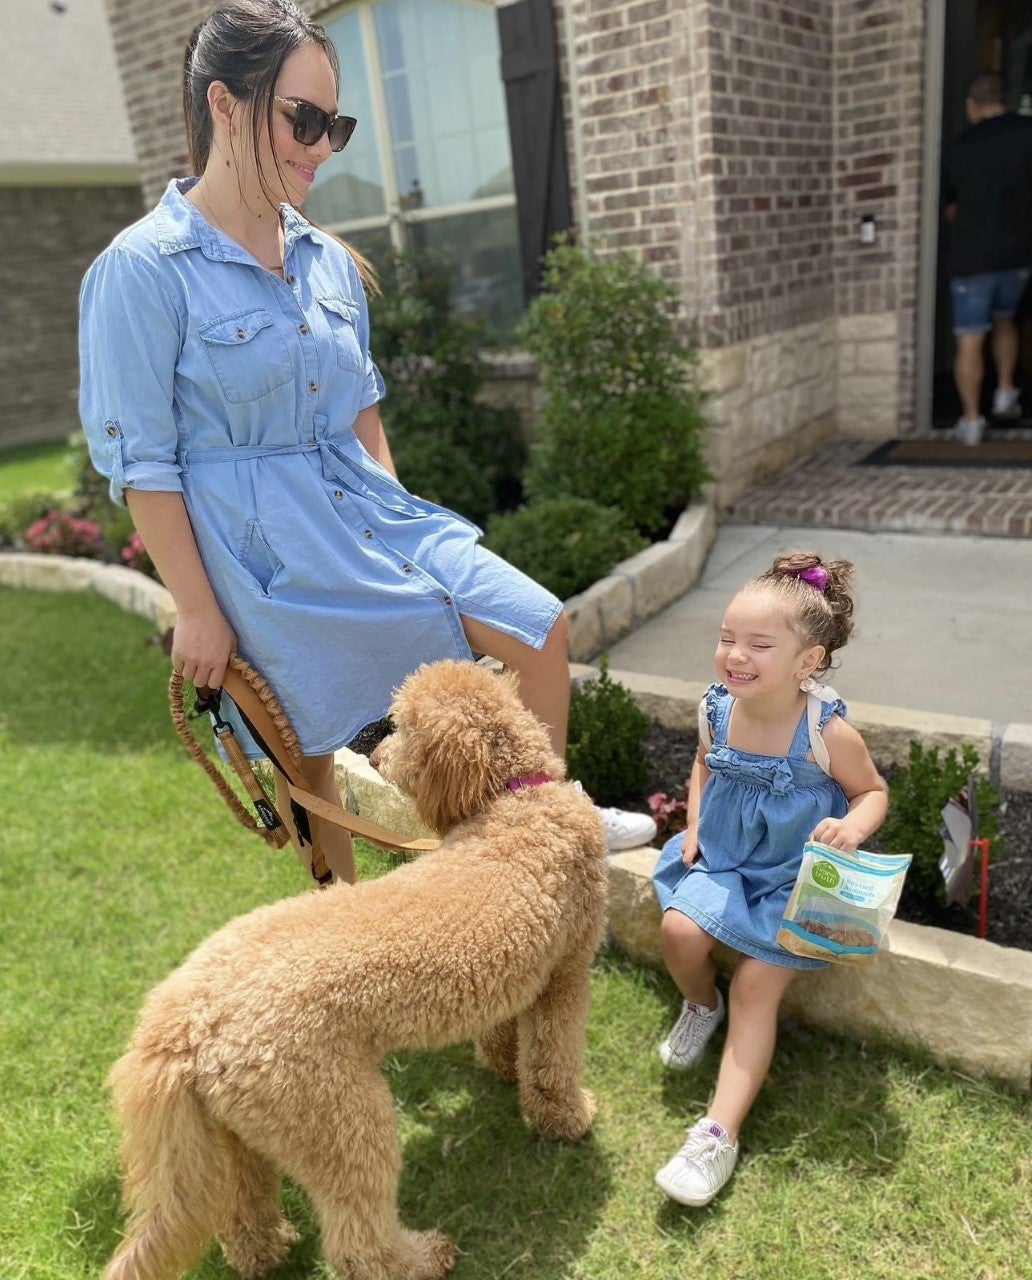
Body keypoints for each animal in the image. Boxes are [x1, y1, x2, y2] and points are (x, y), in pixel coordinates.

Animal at [101, 660, 609, 1280]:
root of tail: (182, 1020)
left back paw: (268, 1249)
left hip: (235, 1134)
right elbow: (552, 1062)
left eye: (403, 730)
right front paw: (567, 1117)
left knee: (241, 1210)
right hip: (339, 1114)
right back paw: (421, 1258)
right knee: (357, 1242)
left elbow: (506, 1035)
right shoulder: (567, 972)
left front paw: (500, 1066)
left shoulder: (524, 973)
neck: (514, 803)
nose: (375, 752)